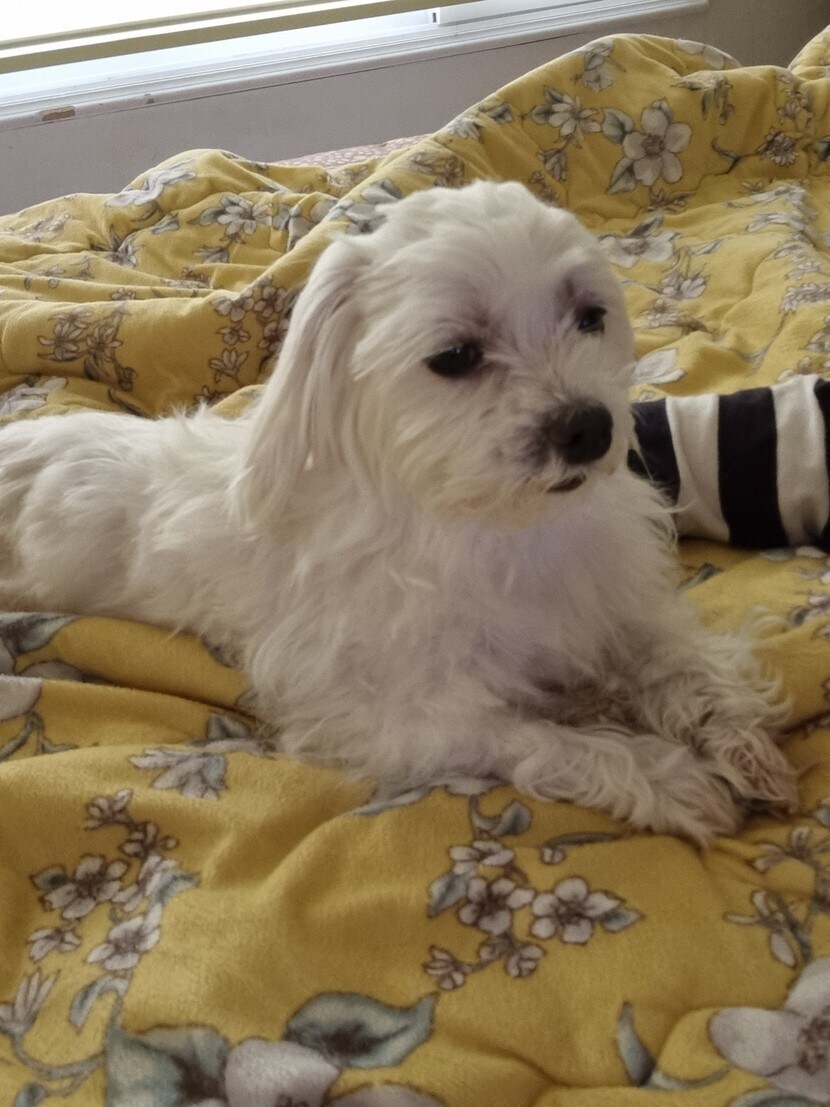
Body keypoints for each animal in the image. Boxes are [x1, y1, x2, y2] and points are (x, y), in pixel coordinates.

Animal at [0, 180, 797, 842]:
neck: (488, 526)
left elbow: (675, 659)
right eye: (455, 356)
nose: (589, 427)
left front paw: (735, 738)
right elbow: (541, 739)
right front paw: (669, 778)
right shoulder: (397, 719)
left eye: (590, 316)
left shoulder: (607, 600)